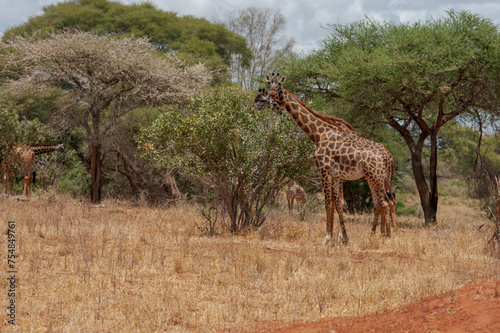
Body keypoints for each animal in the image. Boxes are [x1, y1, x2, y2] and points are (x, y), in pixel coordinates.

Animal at [264, 72, 396, 244]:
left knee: (385, 203)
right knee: (384, 202)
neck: (319, 134)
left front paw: (327, 239)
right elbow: (337, 204)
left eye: (279, 84)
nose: (272, 94)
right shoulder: (335, 176)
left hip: (375, 177)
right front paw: (343, 238)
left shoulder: (324, 171)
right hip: (377, 178)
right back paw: (381, 235)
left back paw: (387, 238)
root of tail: (386, 156)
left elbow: (327, 204)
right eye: (269, 84)